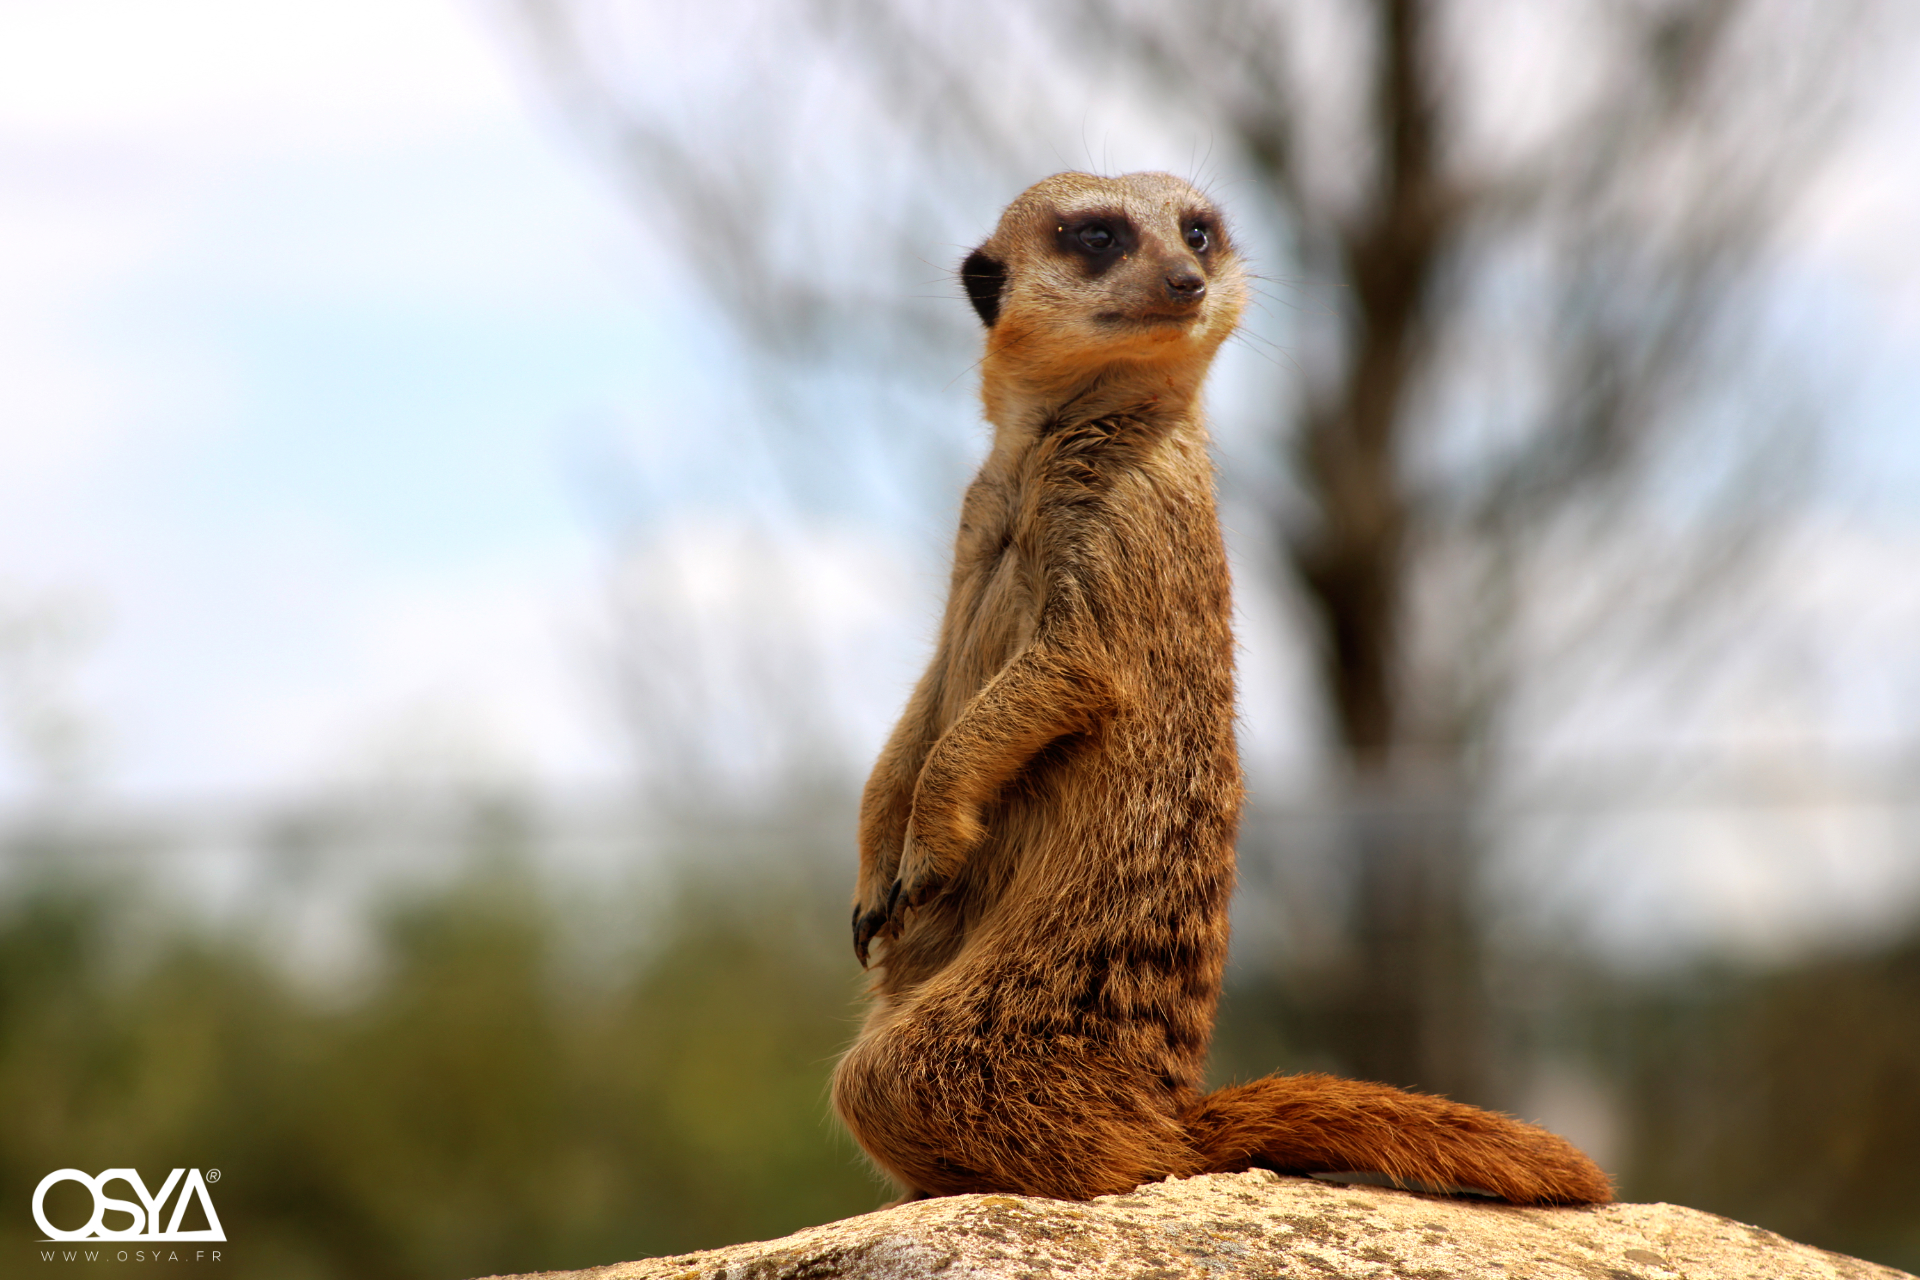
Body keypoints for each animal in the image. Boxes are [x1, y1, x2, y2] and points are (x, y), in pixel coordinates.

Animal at [830, 171, 1611, 1206]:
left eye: (1198, 231)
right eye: (1097, 234)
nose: (1186, 278)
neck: (1053, 440)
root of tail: (1168, 1115)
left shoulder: (1128, 522)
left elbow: (1070, 665)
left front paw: (933, 824)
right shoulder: (974, 527)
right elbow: (926, 692)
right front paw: (880, 848)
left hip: (1020, 1011)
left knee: (895, 1082)